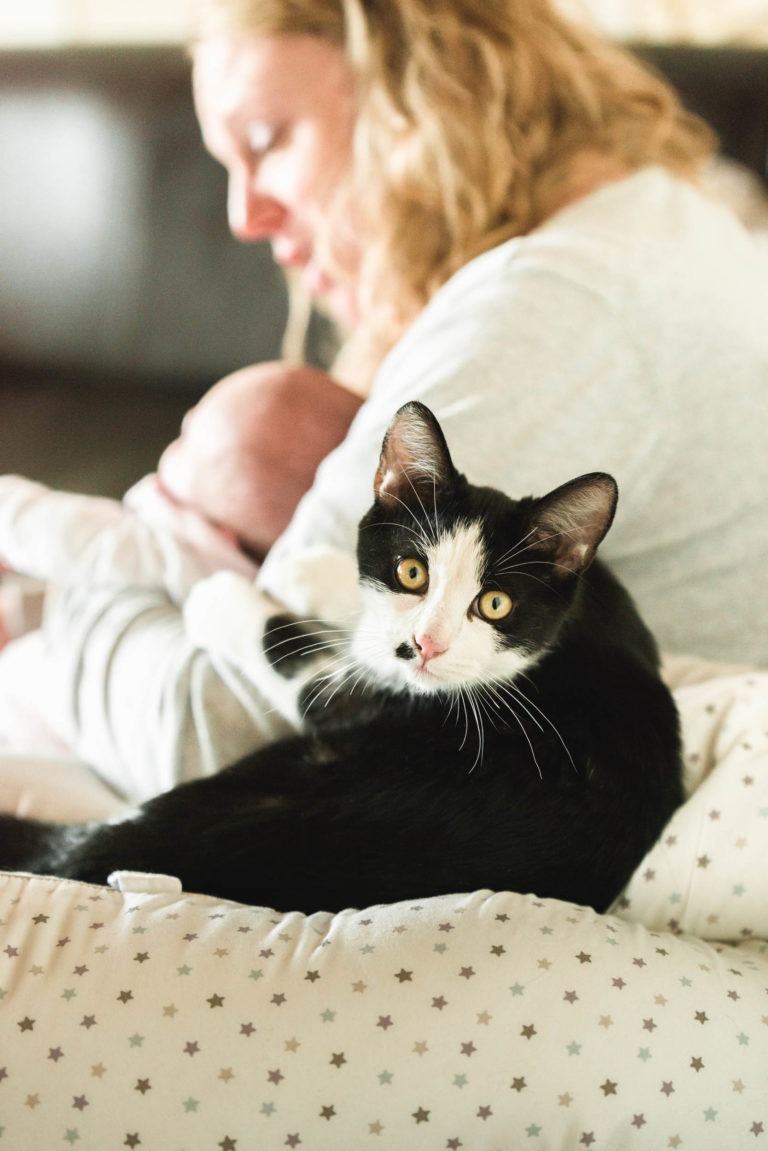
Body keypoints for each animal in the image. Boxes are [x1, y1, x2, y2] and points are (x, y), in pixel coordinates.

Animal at [0, 400, 686, 911]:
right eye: (411, 571)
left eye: (495, 604)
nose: (425, 645)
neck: (566, 635)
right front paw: (316, 572)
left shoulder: (362, 701)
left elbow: (294, 658)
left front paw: (222, 595)